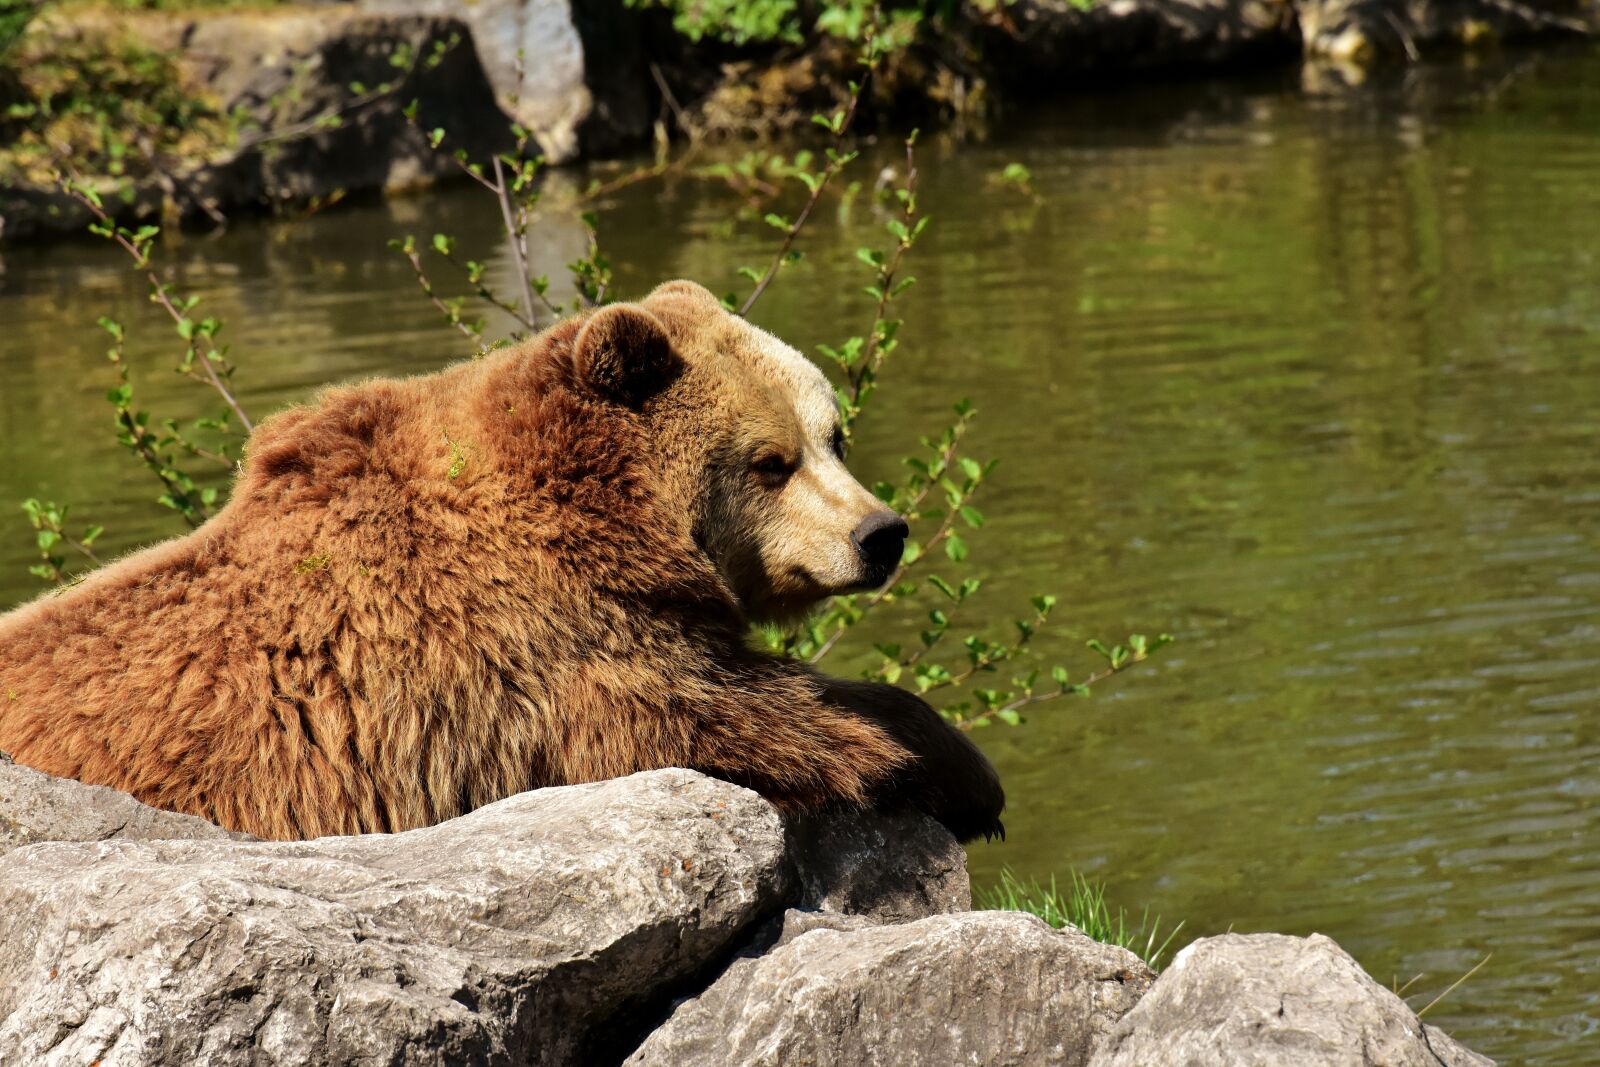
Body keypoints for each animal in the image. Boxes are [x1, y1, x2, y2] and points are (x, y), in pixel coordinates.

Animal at [0, 280, 1003, 842]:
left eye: (834, 433)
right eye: (769, 460)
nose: (879, 532)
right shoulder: (511, 657)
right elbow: (710, 714)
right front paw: (928, 766)